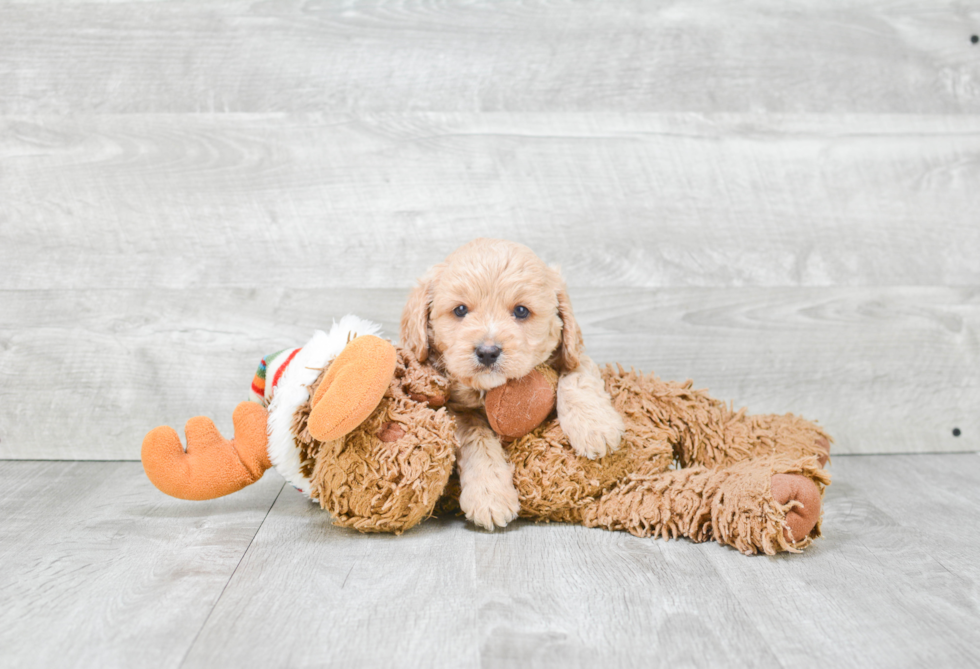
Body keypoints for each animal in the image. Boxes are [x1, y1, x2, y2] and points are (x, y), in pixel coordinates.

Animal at [398, 237, 620, 528]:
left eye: (521, 311)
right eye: (460, 310)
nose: (487, 352)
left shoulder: (573, 354)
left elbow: (577, 375)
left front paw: (595, 427)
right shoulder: (454, 408)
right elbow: (477, 438)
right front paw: (489, 495)